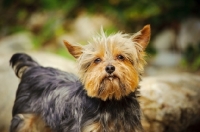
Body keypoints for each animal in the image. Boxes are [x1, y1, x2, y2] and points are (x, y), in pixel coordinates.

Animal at [9, 25, 150, 132]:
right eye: (97, 60)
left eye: (121, 57)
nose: (110, 68)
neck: (112, 101)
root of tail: (34, 67)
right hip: (24, 120)